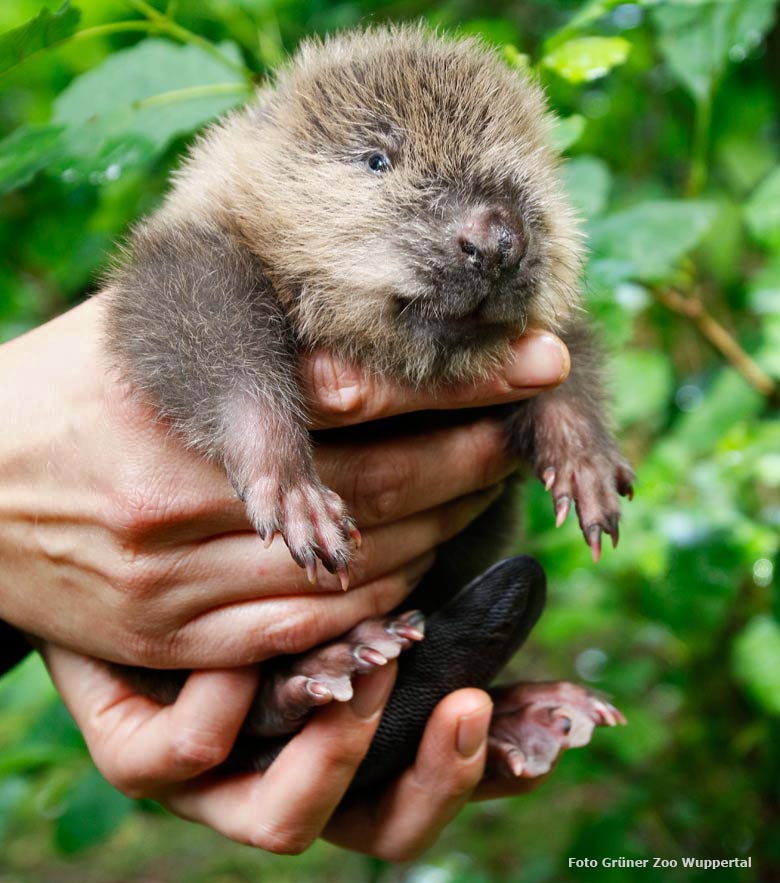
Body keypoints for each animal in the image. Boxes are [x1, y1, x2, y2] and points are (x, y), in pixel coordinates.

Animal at [106, 24, 632, 792]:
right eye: (377, 158)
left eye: (528, 168)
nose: (494, 240)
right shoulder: (194, 231)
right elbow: (189, 310)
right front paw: (295, 494)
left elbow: (566, 347)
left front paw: (587, 468)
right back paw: (323, 668)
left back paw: (535, 713)